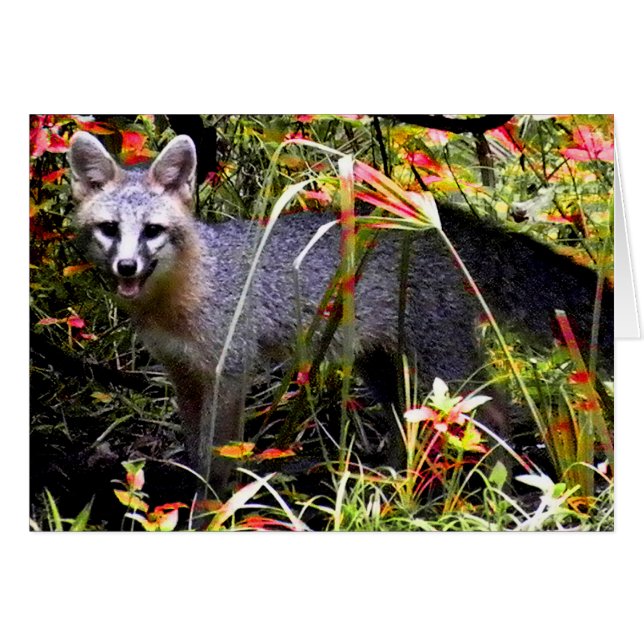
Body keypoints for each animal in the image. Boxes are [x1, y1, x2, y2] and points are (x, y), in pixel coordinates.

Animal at [68, 131, 614, 492]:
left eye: (153, 231)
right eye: (110, 229)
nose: (126, 265)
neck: (190, 289)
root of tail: (442, 223)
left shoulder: (230, 367)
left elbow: (219, 458)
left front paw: (213, 510)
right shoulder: (184, 373)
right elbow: (197, 452)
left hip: (439, 360)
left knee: (496, 411)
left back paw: (491, 494)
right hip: (385, 366)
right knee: (410, 422)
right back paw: (395, 489)